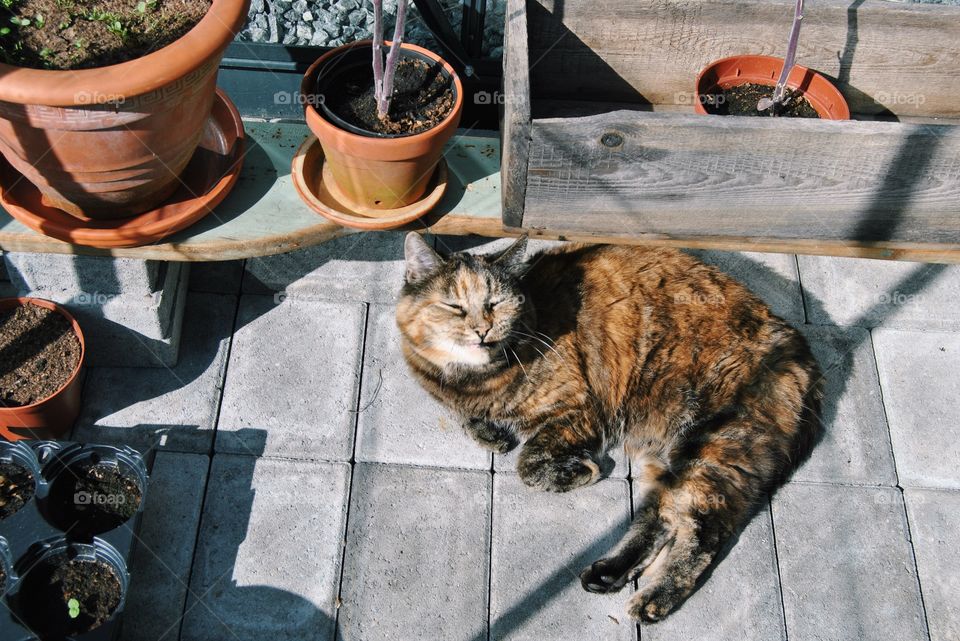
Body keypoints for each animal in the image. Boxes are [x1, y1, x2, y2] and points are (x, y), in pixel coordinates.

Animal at [394, 234, 820, 620]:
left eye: (495, 303)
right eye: (453, 306)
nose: (482, 330)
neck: (474, 381)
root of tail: (799, 346)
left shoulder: (579, 409)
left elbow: (527, 464)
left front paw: (580, 471)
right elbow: (464, 417)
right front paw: (491, 434)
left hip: (713, 449)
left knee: (702, 530)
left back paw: (653, 600)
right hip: (671, 458)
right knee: (660, 515)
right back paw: (609, 574)